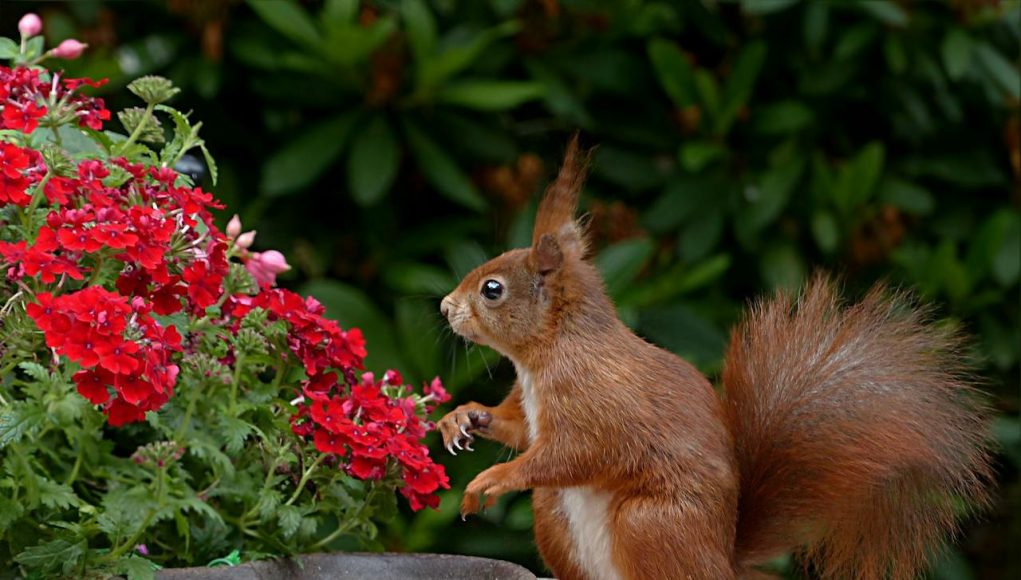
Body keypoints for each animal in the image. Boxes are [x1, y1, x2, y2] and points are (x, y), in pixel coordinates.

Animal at [436, 137, 988, 575]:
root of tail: (723, 561)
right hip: (556, 516)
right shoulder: (531, 407)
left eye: (492, 289)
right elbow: (520, 430)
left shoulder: (598, 399)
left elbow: (576, 452)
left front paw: (494, 478)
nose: (444, 307)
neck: (546, 354)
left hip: (650, 524)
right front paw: (462, 418)